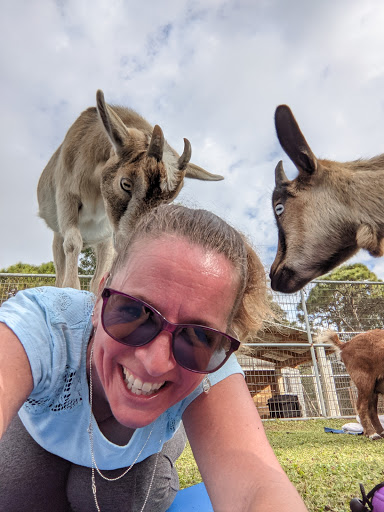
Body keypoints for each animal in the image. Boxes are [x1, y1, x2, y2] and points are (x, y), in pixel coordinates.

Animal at [37, 90, 224, 294]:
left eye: (167, 202)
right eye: (125, 184)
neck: (95, 190)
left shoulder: (108, 229)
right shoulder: (66, 196)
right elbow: (72, 243)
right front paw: (70, 289)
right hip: (59, 234)